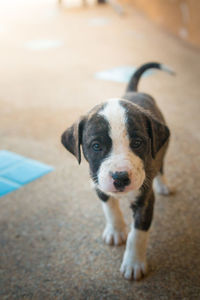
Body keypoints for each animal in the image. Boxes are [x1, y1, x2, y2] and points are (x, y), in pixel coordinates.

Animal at [61, 62, 173, 282]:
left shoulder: (145, 200)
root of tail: (133, 91)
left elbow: (138, 234)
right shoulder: (99, 185)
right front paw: (116, 231)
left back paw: (163, 184)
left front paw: (133, 264)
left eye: (137, 143)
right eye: (96, 146)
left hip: (162, 148)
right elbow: (110, 209)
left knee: (161, 165)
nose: (120, 178)